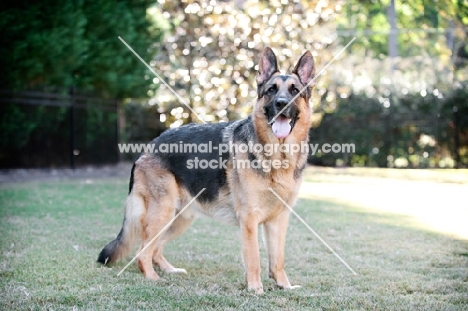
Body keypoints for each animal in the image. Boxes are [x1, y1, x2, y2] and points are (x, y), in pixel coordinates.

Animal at [97, 47, 316, 294]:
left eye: (295, 91)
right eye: (272, 90)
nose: (281, 104)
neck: (278, 157)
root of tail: (149, 146)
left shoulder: (278, 221)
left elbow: (278, 260)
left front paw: (284, 285)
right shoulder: (249, 220)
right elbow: (254, 259)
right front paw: (255, 289)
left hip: (179, 218)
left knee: (155, 249)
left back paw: (170, 270)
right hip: (163, 213)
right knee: (142, 252)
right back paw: (154, 279)